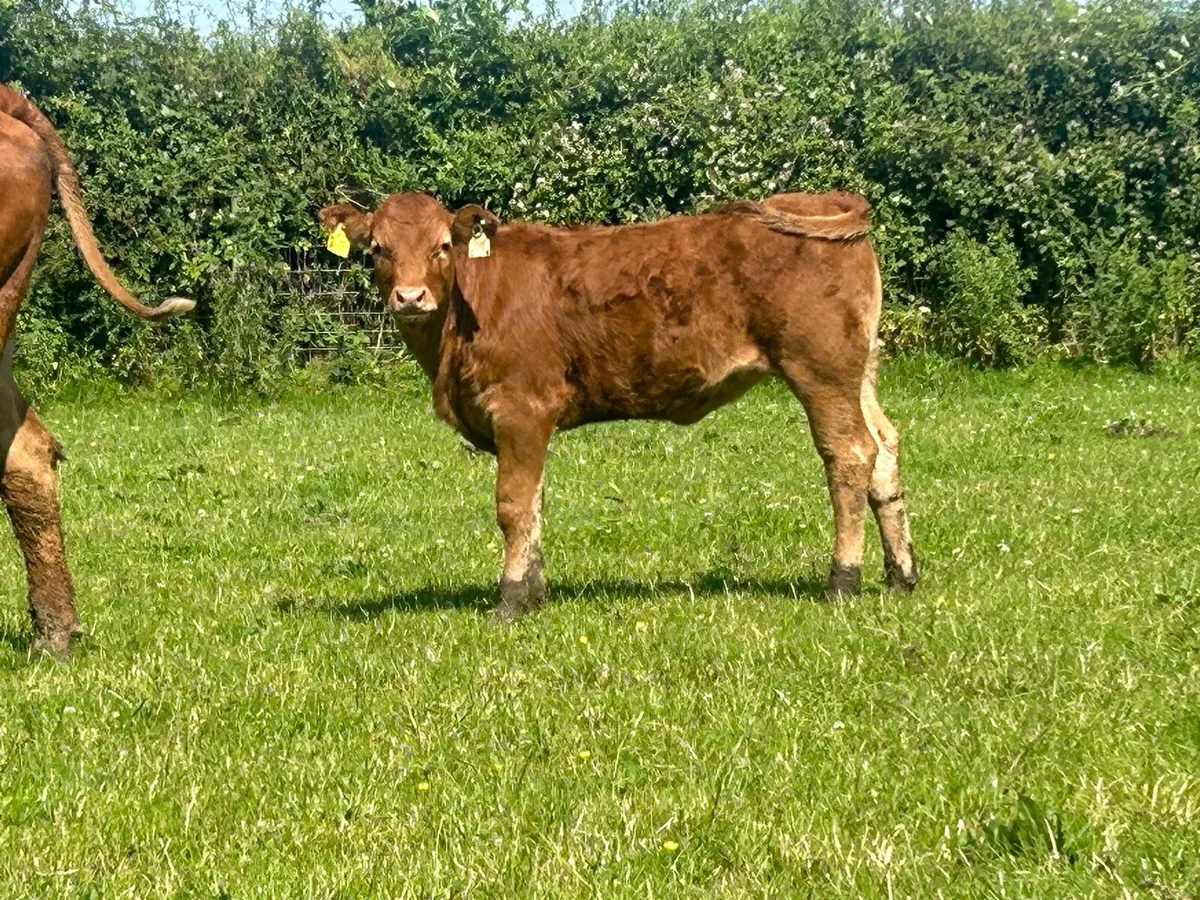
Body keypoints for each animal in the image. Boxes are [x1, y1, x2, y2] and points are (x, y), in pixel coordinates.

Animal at [319, 190, 917, 619]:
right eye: (377, 249)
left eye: (443, 245)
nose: (410, 297)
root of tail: (823, 197)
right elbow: (535, 503)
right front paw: (534, 592)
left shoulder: (520, 409)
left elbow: (513, 505)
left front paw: (510, 600)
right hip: (858, 371)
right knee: (885, 447)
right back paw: (901, 575)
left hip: (820, 370)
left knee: (850, 455)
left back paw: (843, 581)